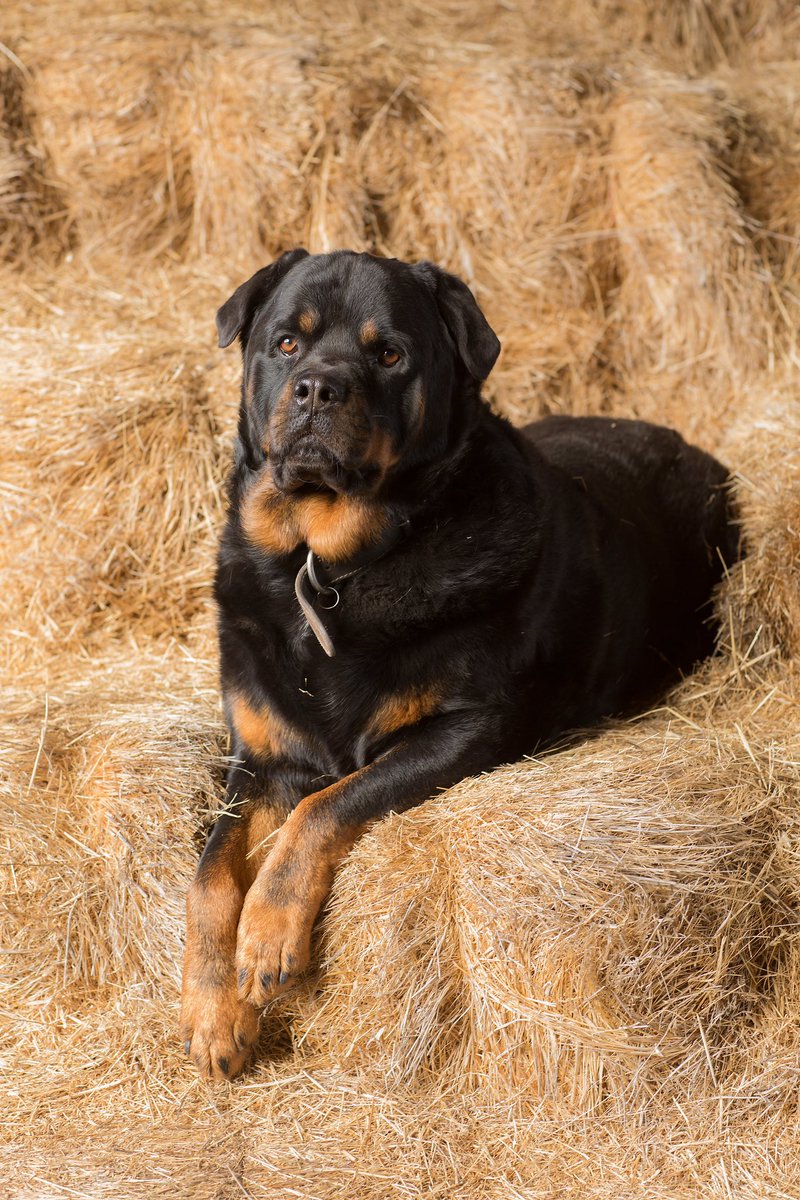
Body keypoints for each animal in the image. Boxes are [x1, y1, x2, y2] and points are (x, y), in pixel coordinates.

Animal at [181, 250, 738, 1080]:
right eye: (286, 343)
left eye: (388, 354)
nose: (317, 387)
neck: (325, 568)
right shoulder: (259, 756)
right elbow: (211, 873)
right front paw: (214, 1009)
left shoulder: (467, 729)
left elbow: (325, 807)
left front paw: (268, 935)